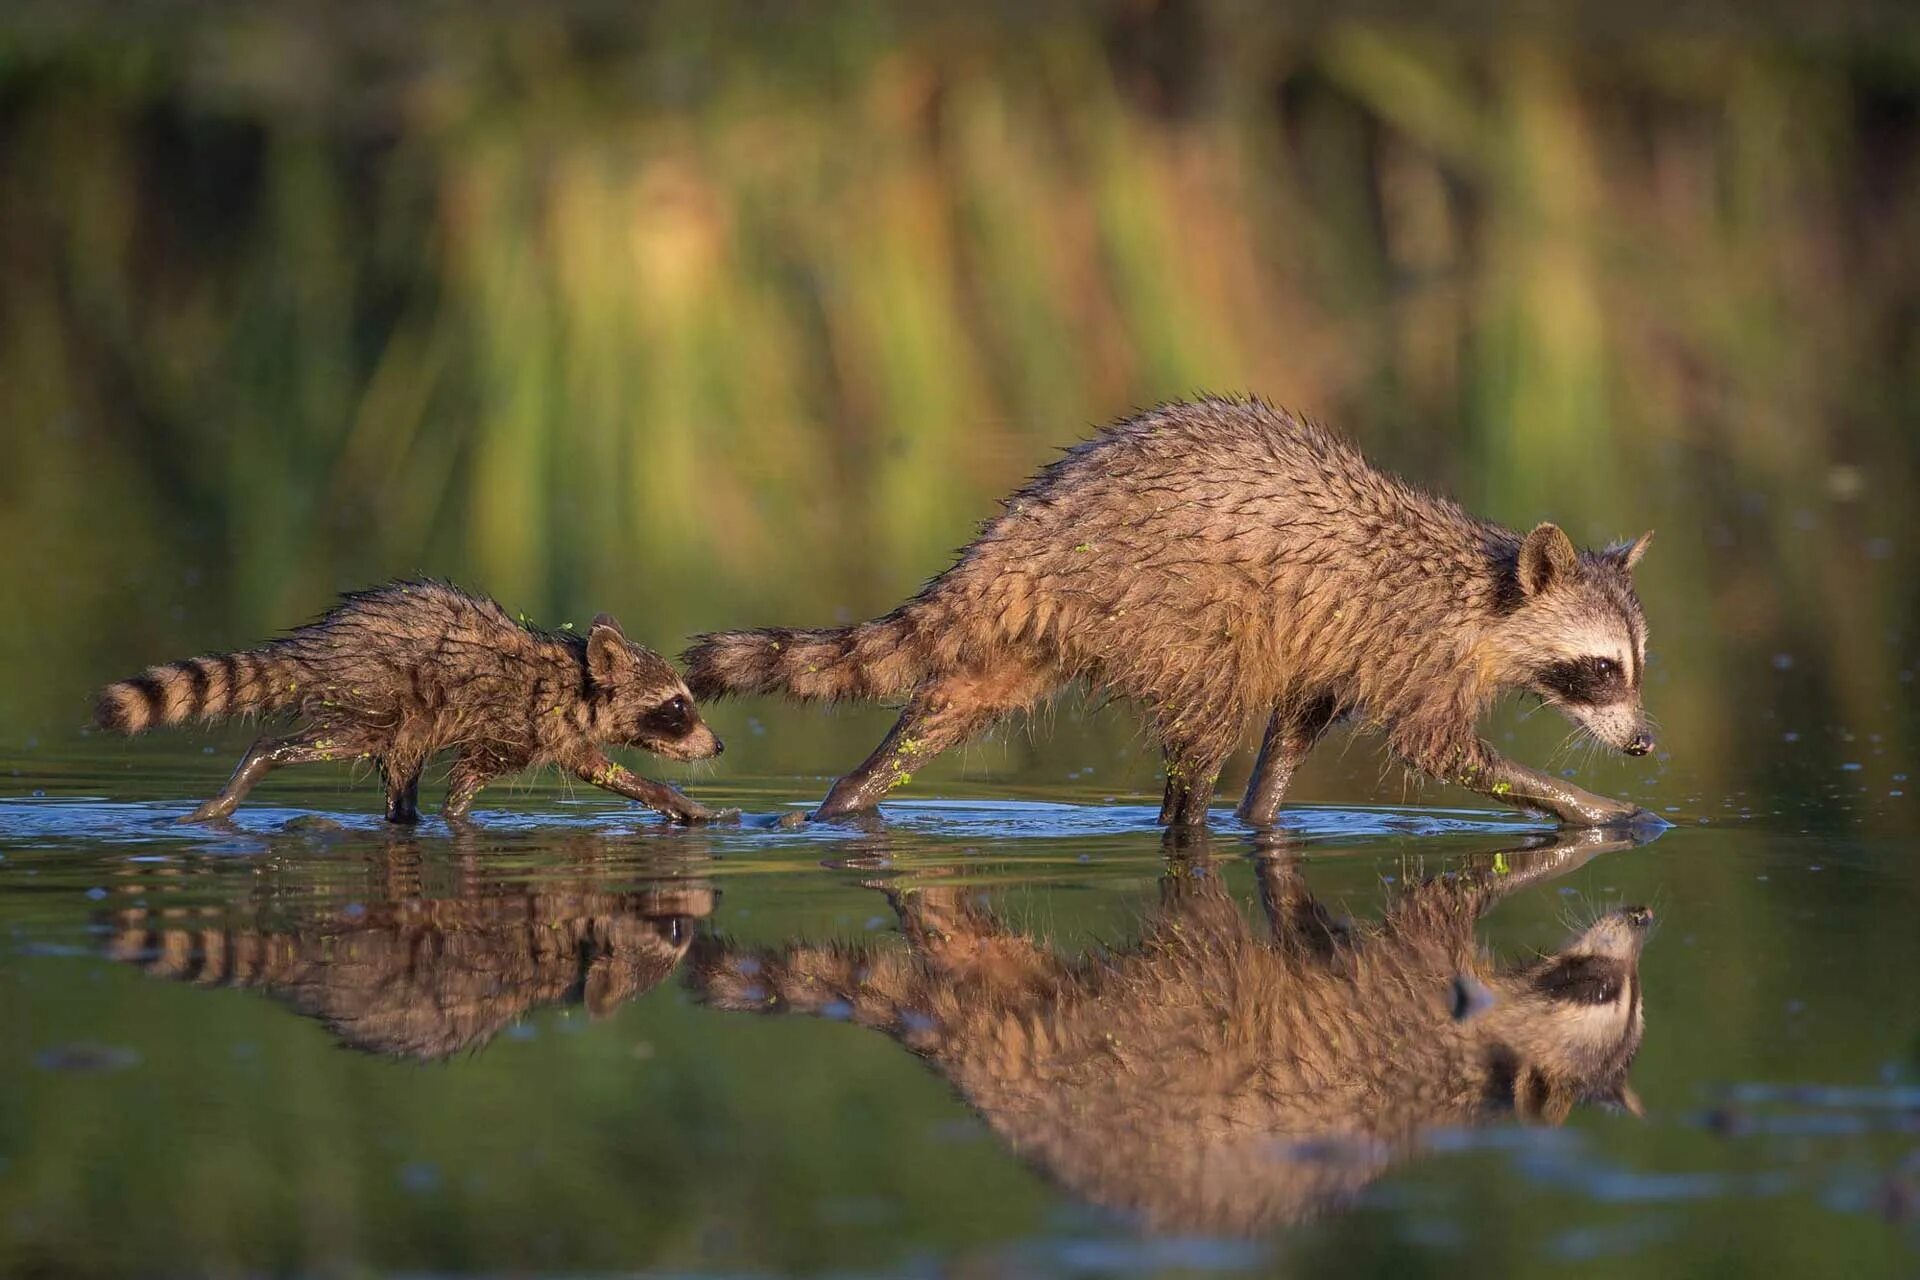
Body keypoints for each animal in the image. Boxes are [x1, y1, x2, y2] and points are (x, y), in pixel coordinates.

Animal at [91, 579, 721, 821]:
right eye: (678, 707)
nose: (717, 746)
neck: (579, 680)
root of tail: (312, 649)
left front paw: (677, 802)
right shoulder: (523, 723)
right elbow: (472, 786)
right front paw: (675, 799)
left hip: (404, 722)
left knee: (400, 779)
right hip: (373, 698)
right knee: (304, 743)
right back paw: (254, 767)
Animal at [691, 395, 1666, 825]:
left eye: (1637, 666)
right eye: (1602, 668)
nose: (1645, 744)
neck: (1485, 592)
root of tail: (1022, 533)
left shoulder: (1333, 646)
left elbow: (1296, 727)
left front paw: (1264, 812)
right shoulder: (1412, 647)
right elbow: (1441, 753)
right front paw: (1592, 808)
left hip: (1045, 631)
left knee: (954, 703)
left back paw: (850, 795)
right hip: (1165, 609)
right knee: (1205, 728)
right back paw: (1186, 824)